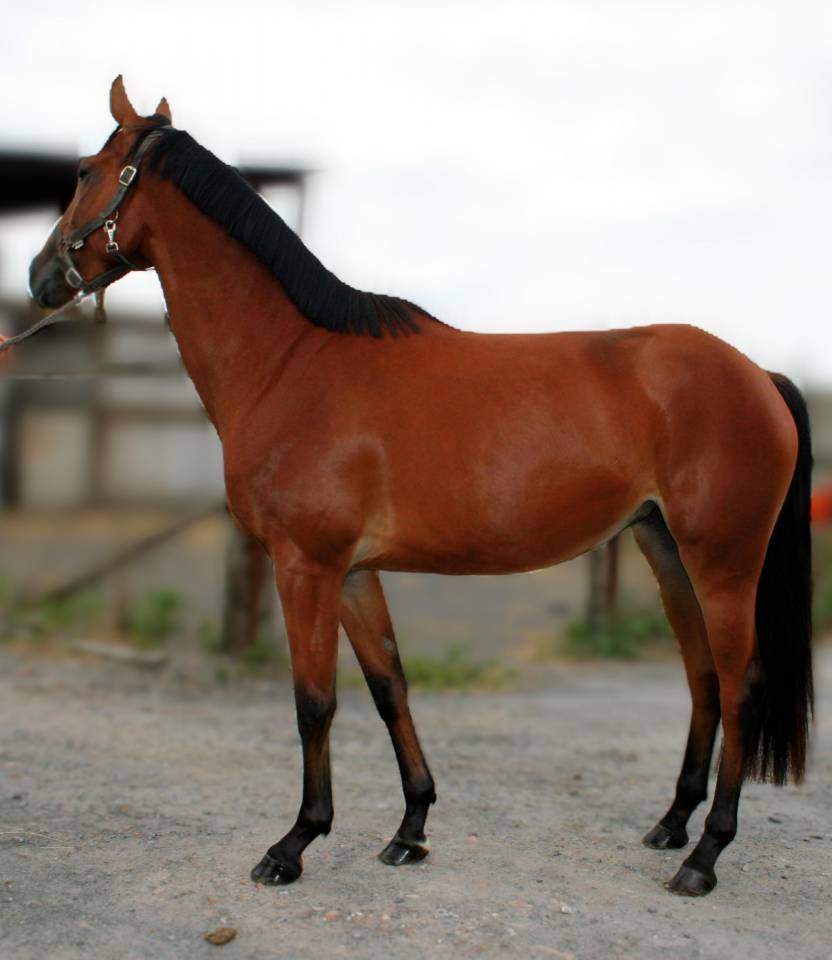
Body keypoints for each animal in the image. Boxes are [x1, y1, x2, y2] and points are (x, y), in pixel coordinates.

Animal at [27, 77, 813, 897]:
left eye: (83, 171)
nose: (40, 277)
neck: (293, 363)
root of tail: (758, 374)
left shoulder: (305, 566)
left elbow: (314, 703)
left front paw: (294, 844)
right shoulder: (353, 573)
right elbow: (388, 688)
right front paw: (410, 829)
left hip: (724, 563)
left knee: (742, 686)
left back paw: (705, 856)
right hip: (667, 552)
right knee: (703, 679)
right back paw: (672, 825)